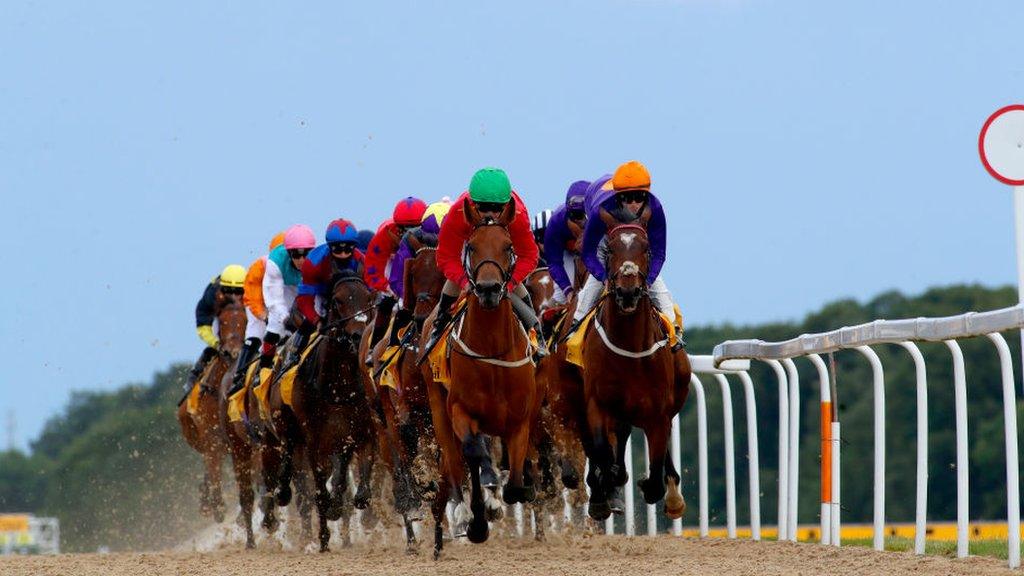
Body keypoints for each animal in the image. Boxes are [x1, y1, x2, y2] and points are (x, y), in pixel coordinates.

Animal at [177, 293, 246, 522]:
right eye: (222, 320)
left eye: (246, 319)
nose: (232, 352)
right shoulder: (212, 442)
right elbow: (214, 476)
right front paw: (215, 506)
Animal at [286, 272, 378, 553]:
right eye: (337, 301)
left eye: (369, 299)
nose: (359, 335)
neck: (340, 388)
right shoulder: (314, 441)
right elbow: (319, 490)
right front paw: (325, 532)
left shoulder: (361, 433)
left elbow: (358, 491)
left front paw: (350, 506)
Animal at [421, 200, 544, 557]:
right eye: (472, 246)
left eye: (508, 246)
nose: (489, 289)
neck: (493, 350)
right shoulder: (461, 412)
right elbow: (474, 456)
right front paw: (477, 518)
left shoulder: (519, 422)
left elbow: (515, 483)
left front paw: (506, 494)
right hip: (439, 410)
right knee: (455, 462)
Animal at [585, 211, 688, 520]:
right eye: (609, 249)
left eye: (647, 248)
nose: (628, 291)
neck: (630, 350)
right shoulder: (597, 403)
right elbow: (601, 451)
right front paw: (603, 492)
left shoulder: (658, 413)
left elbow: (654, 476)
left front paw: (651, 486)